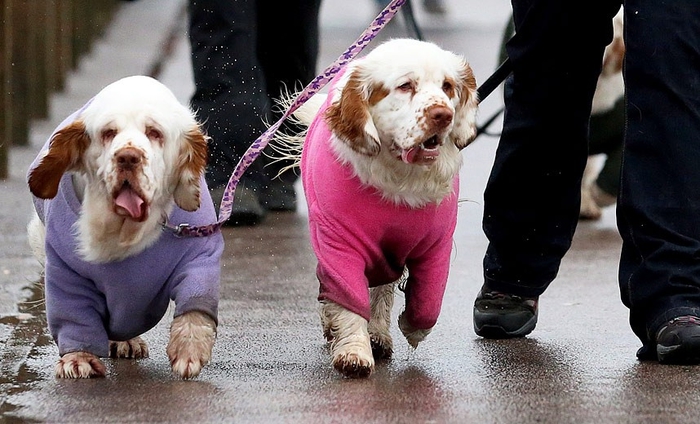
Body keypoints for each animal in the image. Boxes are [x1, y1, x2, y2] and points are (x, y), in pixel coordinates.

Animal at [27, 75, 223, 378]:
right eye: (108, 133)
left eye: (154, 132)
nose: (128, 157)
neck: (123, 231)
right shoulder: (65, 272)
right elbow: (74, 317)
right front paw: (79, 359)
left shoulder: (200, 256)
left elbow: (196, 302)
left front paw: (188, 351)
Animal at [282, 39, 478, 378]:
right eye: (405, 86)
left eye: (447, 86)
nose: (443, 114)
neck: (401, 180)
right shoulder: (340, 242)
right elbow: (348, 296)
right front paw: (353, 353)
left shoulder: (434, 246)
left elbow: (428, 303)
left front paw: (409, 328)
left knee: (382, 290)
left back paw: (378, 334)